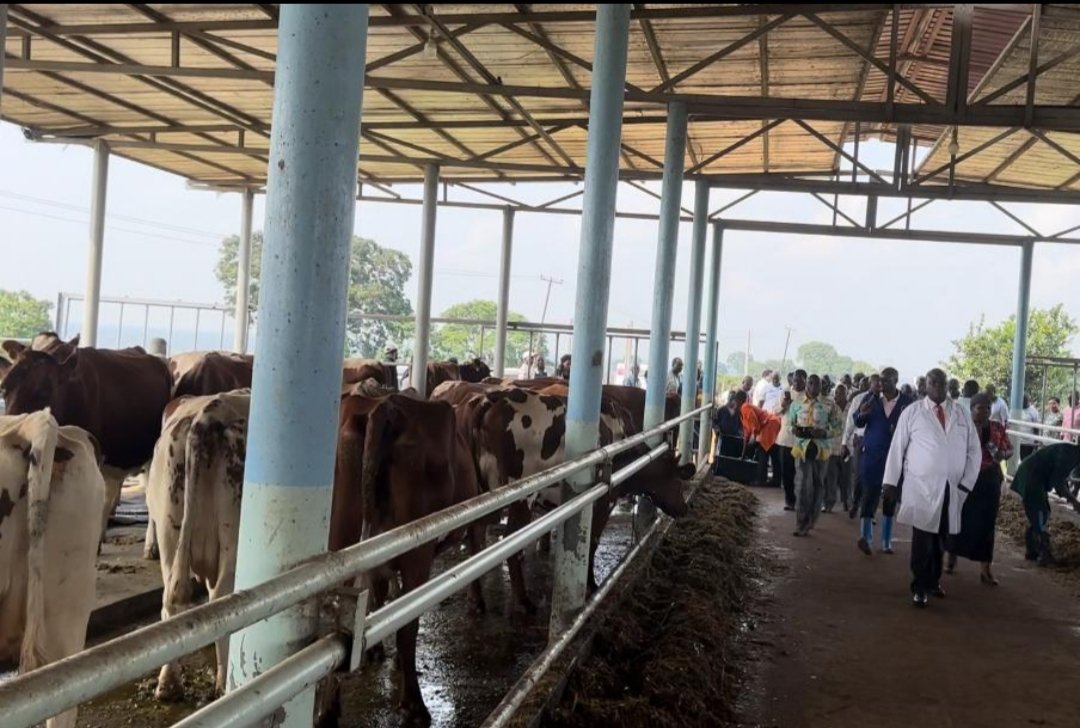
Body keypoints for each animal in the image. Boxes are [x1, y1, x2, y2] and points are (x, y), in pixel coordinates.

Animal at [146, 388, 249, 699]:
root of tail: (208, 415)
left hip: (170, 527)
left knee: (172, 600)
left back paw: (168, 684)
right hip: (233, 536)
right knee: (222, 599)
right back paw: (224, 682)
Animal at [326, 388, 483, 717]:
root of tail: (384, 408)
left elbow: (381, 596)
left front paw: (376, 650)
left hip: (342, 541)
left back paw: (328, 710)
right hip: (416, 548)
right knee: (409, 623)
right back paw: (414, 702)